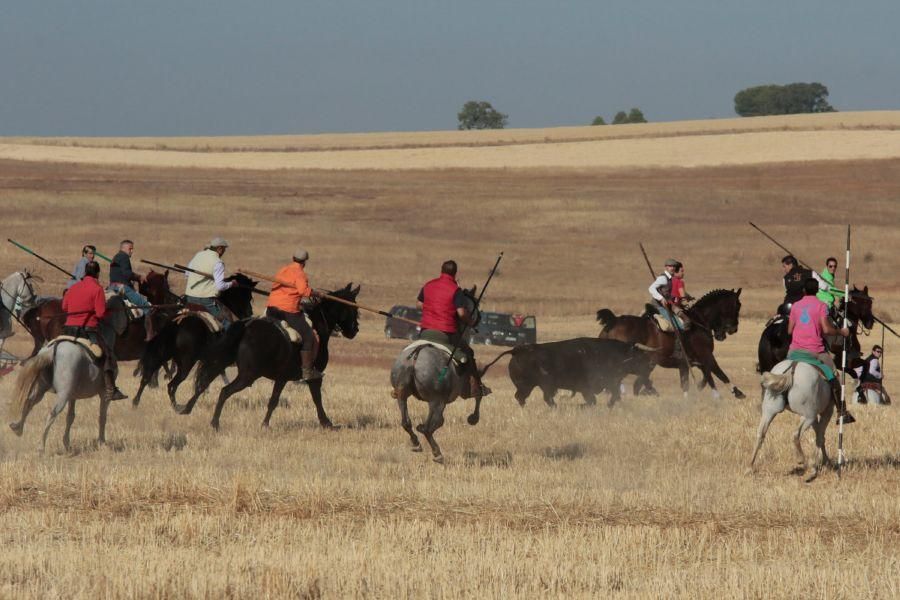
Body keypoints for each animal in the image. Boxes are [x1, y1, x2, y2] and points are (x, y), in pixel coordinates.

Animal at [134, 274, 260, 408]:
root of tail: (177, 322)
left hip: (162, 354)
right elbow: (205, 377)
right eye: (248, 296)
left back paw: (137, 402)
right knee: (171, 384)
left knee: (148, 376)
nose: (249, 312)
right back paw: (177, 406)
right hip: (185, 363)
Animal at [178, 284, 360, 428]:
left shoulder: (282, 377)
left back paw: (185, 409)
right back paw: (214, 423)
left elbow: (273, 400)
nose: (355, 330)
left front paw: (265, 424)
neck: (318, 325)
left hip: (222, 362)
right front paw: (326, 422)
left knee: (202, 384)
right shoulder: (313, 376)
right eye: (355, 309)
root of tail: (246, 326)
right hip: (248, 376)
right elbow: (317, 398)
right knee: (224, 391)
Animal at [478, 338, 652, 408]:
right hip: (533, 386)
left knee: (523, 397)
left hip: (529, 386)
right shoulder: (590, 387)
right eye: (638, 357)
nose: (649, 366)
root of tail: (517, 350)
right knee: (535, 398)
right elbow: (598, 398)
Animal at [596, 290, 744, 400]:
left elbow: (692, 381)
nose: (734, 329)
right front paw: (734, 393)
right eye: (737, 306)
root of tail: (613, 321)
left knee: (634, 381)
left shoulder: (687, 363)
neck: (698, 321)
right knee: (627, 380)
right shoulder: (706, 356)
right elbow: (719, 373)